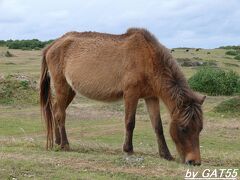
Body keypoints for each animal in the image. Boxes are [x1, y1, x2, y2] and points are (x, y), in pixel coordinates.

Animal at [40, 28, 205, 166]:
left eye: (200, 129)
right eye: (183, 128)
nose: (195, 161)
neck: (147, 57)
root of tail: (52, 45)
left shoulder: (151, 97)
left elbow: (157, 126)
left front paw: (166, 154)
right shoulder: (131, 94)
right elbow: (130, 122)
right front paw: (128, 149)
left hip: (70, 90)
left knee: (56, 111)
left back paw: (58, 141)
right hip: (61, 87)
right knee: (60, 114)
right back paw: (65, 144)